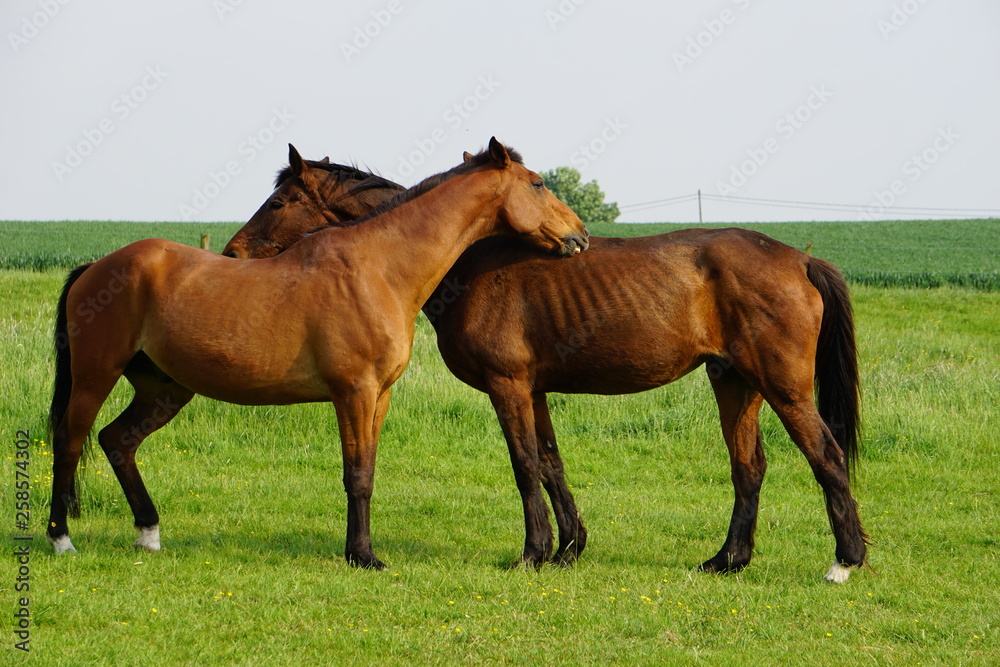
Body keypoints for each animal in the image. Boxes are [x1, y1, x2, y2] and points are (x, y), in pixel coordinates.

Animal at [46, 138, 590, 570]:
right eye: (538, 184)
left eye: (279, 202)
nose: (580, 236)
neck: (377, 267)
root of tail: (97, 267)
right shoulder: (353, 393)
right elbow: (357, 476)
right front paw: (363, 556)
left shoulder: (378, 396)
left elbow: (368, 470)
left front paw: (359, 549)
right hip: (95, 376)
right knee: (69, 442)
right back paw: (61, 539)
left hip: (164, 389)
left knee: (118, 441)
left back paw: (148, 534)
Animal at [222, 158, 868, 582]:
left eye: (278, 202)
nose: (231, 254)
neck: (468, 257)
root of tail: (800, 258)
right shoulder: (534, 391)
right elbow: (553, 463)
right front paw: (568, 548)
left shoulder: (508, 387)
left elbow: (525, 463)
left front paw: (533, 552)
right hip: (735, 383)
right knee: (748, 468)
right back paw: (727, 561)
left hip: (784, 389)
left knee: (827, 457)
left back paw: (846, 560)